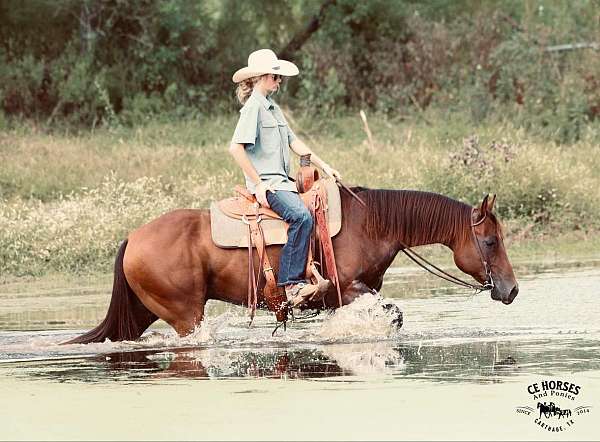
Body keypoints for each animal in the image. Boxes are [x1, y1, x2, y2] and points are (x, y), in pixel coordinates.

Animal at [64, 188, 516, 344]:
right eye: (490, 241)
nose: (511, 289)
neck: (371, 223)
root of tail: (133, 238)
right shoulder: (346, 288)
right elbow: (393, 314)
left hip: (144, 310)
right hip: (184, 314)